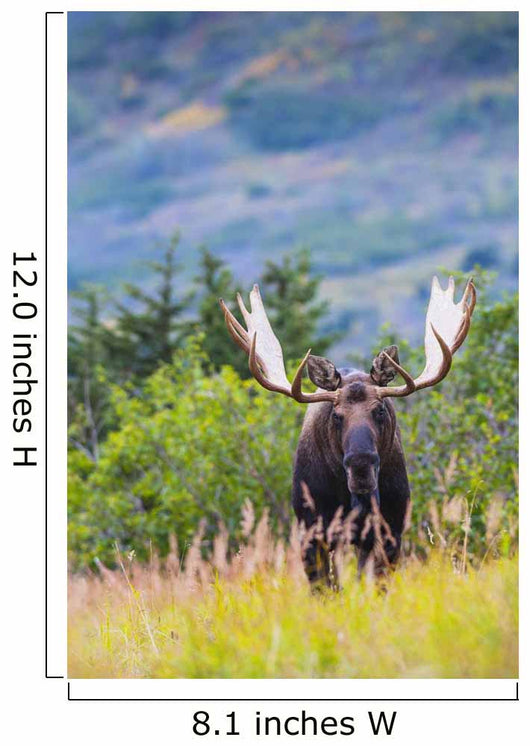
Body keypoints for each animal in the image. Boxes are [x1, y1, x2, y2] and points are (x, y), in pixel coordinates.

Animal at [220, 276, 476, 585]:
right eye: (336, 415)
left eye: (380, 410)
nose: (361, 466)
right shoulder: (312, 533)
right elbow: (325, 588)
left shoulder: (390, 531)